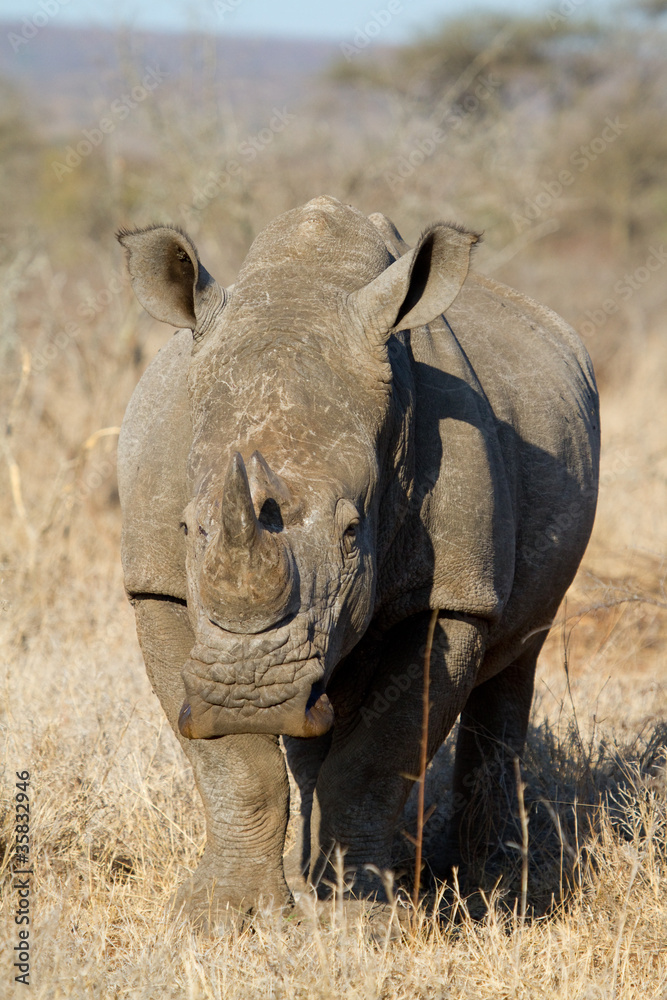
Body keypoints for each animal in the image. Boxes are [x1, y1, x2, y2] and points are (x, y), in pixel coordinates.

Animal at [117, 195, 599, 921]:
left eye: (352, 532)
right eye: (188, 527)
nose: (249, 695)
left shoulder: (454, 596)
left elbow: (377, 757)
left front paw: (363, 918)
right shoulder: (158, 586)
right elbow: (235, 766)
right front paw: (227, 917)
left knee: (516, 659)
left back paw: (493, 884)